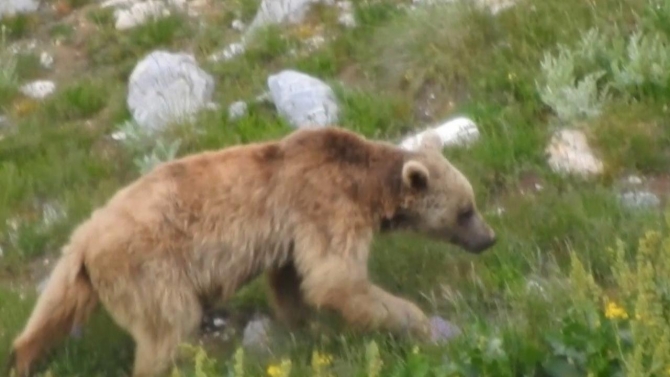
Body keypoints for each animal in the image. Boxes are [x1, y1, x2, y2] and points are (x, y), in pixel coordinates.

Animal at [7, 127, 496, 376]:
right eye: (465, 209)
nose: (489, 238)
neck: (368, 188)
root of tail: (89, 241)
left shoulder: (293, 232)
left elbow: (292, 281)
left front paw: (305, 326)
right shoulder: (325, 204)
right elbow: (336, 278)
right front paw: (420, 323)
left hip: (76, 269)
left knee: (50, 311)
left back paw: (22, 357)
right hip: (149, 269)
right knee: (166, 329)